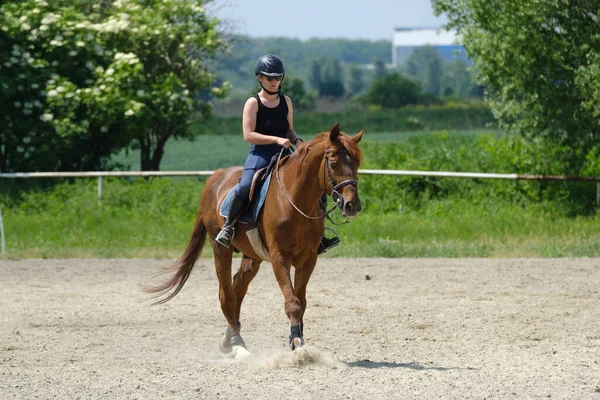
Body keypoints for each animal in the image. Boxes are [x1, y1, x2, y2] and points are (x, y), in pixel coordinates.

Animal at [144, 123, 366, 354]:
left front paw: (295, 338)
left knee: (238, 288)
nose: (352, 205)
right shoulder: (279, 257)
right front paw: (297, 342)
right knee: (226, 295)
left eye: (357, 163)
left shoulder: (308, 259)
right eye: (333, 163)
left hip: (253, 256)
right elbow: (293, 302)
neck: (295, 200)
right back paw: (236, 342)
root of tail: (215, 177)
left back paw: (228, 337)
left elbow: (301, 301)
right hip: (220, 248)